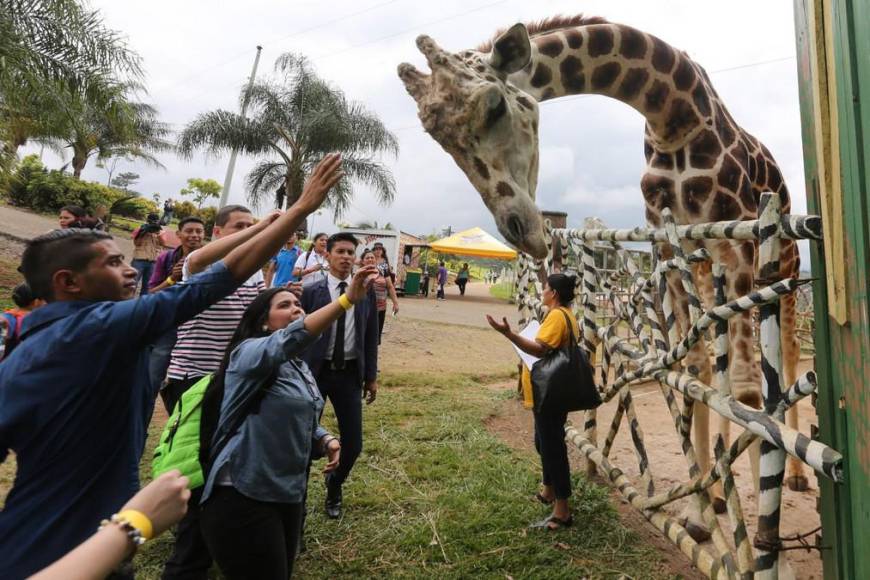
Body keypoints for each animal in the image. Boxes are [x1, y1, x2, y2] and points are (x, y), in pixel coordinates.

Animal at [402, 14, 812, 544]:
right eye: (438, 138)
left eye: (494, 105)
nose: (521, 230)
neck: (673, 114)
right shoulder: (672, 248)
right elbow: (695, 370)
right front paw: (698, 516)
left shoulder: (740, 246)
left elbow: (746, 389)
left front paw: (765, 540)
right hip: (710, 272)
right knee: (715, 362)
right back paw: (722, 498)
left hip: (782, 263)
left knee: (784, 353)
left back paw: (796, 477)